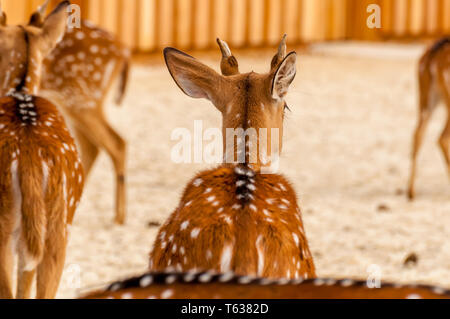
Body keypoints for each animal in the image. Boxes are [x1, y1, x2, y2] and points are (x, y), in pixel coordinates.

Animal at [24, 0, 129, 225]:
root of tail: (124, 50)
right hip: (75, 103)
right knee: (94, 147)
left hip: (83, 99)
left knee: (116, 143)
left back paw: (118, 218)